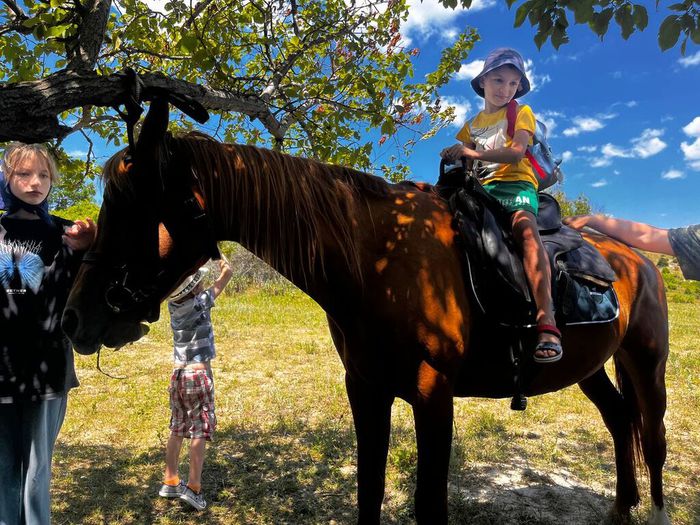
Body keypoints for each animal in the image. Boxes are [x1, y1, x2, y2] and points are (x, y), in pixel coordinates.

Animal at [63, 99, 668, 524]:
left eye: (127, 207)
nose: (73, 320)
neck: (380, 261)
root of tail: (638, 259)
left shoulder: (433, 394)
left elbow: (428, 505)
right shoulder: (366, 388)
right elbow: (369, 490)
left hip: (646, 362)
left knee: (653, 438)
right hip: (591, 368)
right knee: (621, 423)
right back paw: (621, 508)